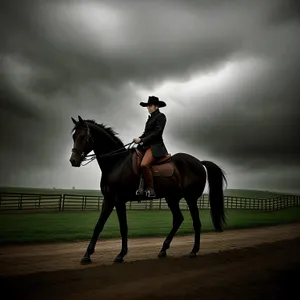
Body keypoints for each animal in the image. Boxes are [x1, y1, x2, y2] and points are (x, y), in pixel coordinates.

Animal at [69, 116, 226, 264]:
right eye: (74, 136)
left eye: (83, 136)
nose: (73, 161)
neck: (116, 163)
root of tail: (199, 162)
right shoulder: (108, 200)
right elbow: (98, 226)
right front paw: (87, 255)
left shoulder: (119, 200)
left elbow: (123, 227)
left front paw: (121, 254)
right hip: (172, 198)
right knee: (178, 219)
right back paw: (163, 249)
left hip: (191, 199)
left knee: (196, 223)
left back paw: (193, 251)